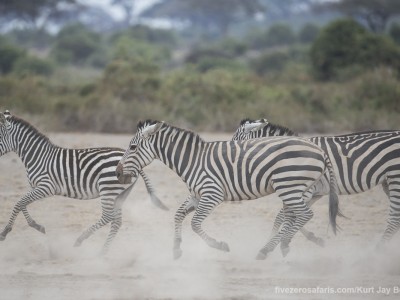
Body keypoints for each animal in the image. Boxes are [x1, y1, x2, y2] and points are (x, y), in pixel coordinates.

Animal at [0, 110, 167, 253]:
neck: (37, 156)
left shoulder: (46, 187)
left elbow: (19, 203)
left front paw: (5, 232)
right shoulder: (34, 187)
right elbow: (22, 203)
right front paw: (36, 225)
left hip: (108, 188)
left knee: (108, 217)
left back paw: (81, 240)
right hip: (121, 193)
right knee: (116, 221)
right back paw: (103, 251)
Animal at [115, 120, 340, 260]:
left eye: (132, 147)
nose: (117, 172)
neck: (193, 161)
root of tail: (319, 150)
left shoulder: (212, 194)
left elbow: (195, 224)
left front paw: (219, 245)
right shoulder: (197, 195)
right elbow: (178, 215)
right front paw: (177, 248)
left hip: (289, 186)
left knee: (305, 214)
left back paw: (278, 246)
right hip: (299, 189)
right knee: (295, 215)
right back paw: (277, 246)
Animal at [233, 118, 400, 247]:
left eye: (235, 144)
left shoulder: (306, 191)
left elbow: (285, 216)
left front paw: (274, 241)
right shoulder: (313, 193)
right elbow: (290, 216)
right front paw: (313, 239)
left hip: (395, 178)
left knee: (394, 218)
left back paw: (376, 251)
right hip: (387, 182)